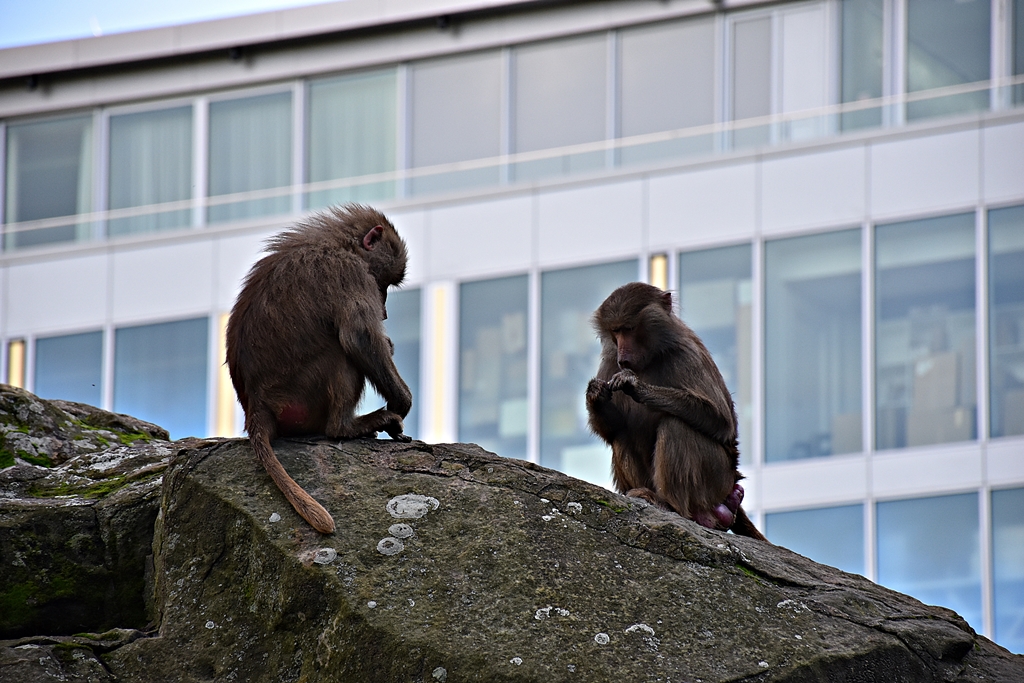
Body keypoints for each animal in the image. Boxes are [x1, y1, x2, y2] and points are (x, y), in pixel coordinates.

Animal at [226, 204, 413, 534]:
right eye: (384, 283)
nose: (385, 311)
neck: (340, 243)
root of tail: (256, 408)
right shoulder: (348, 271)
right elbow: (359, 338)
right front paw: (401, 402)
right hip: (300, 396)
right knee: (342, 353)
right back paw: (348, 427)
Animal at [586, 282, 767, 541]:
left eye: (629, 328)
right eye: (615, 331)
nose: (623, 359)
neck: (650, 356)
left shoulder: (685, 354)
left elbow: (722, 421)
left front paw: (636, 386)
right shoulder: (610, 361)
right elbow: (612, 428)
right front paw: (596, 393)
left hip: (717, 479)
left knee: (675, 425)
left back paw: (670, 506)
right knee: (622, 434)